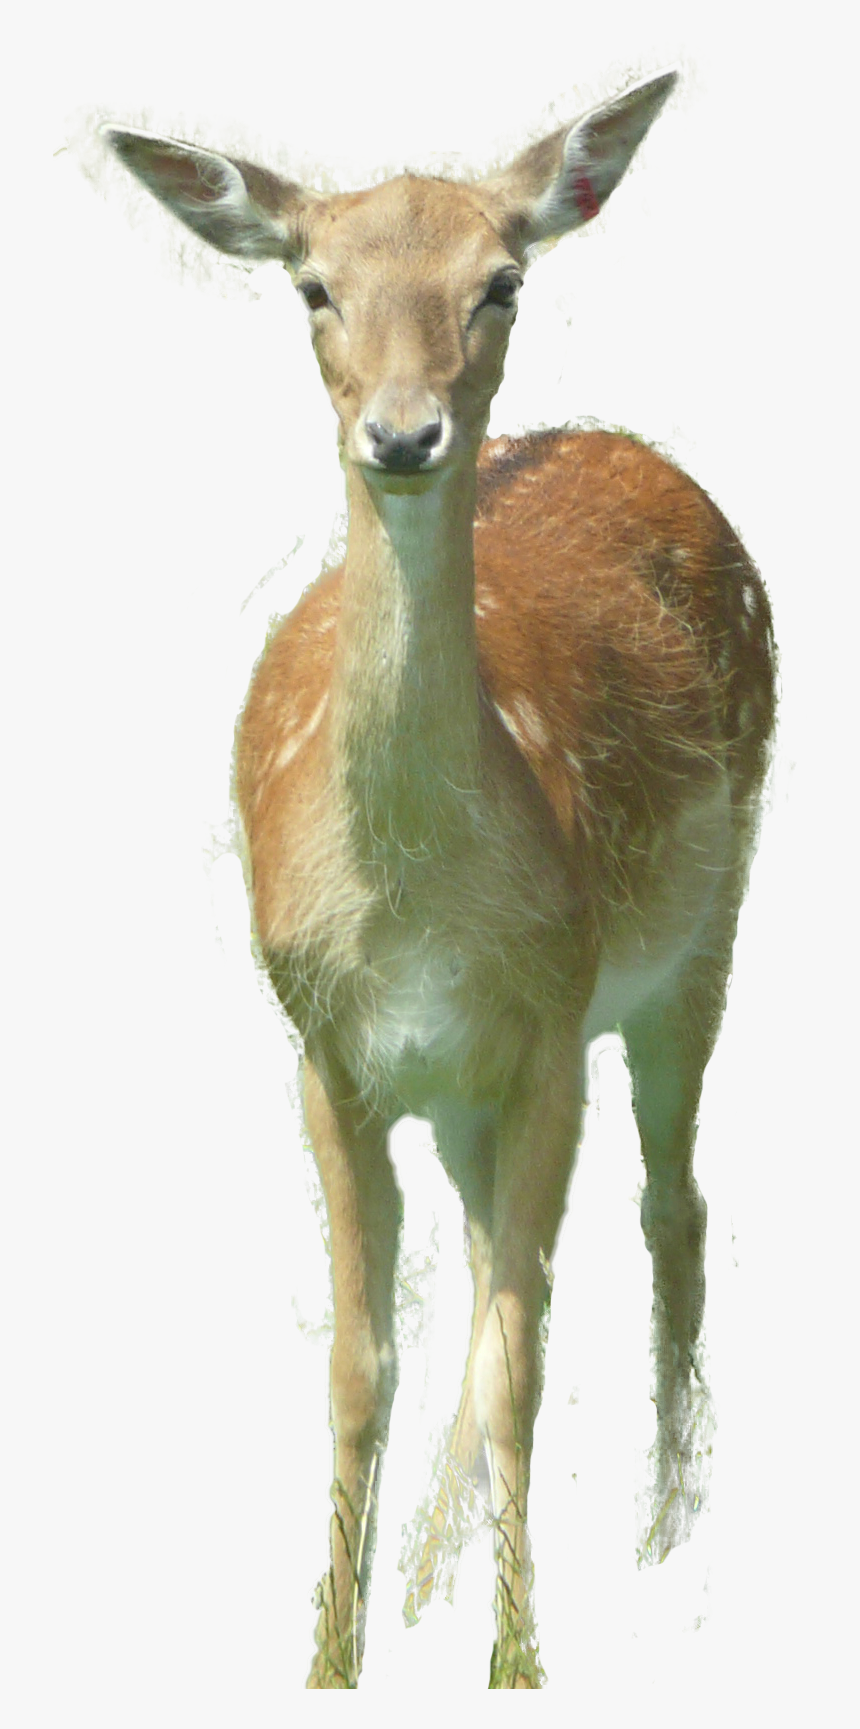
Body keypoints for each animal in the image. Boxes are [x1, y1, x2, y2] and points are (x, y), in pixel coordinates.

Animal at [102, 71, 776, 1688]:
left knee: (670, 1207)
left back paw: (664, 1530)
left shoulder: (544, 1031)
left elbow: (520, 1352)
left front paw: (519, 1664)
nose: (402, 435)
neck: (411, 913)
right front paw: (335, 1656)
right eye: (313, 286)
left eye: (498, 282)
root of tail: (633, 446)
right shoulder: (327, 1051)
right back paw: (424, 1578)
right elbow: (365, 1361)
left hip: (703, 930)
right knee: (486, 1270)